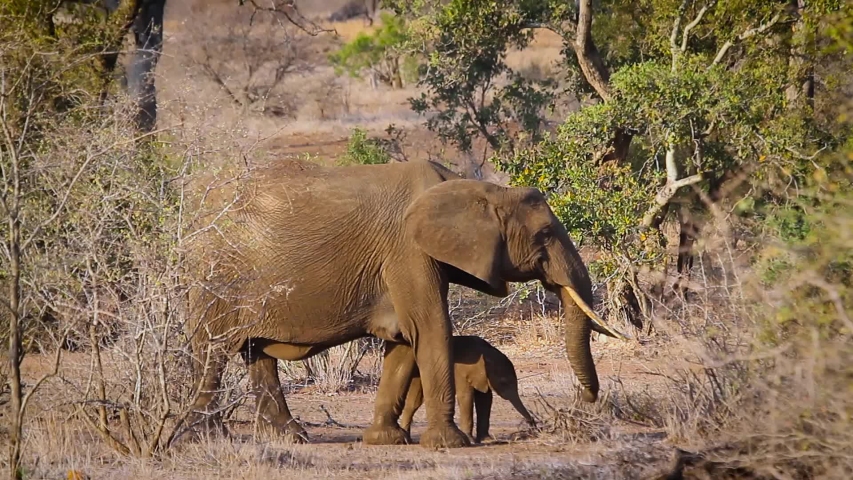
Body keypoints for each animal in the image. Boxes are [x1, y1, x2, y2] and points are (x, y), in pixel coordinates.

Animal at [398, 334, 532, 442]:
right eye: (504, 382)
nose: (532, 428)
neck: (486, 352)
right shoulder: (461, 372)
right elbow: (466, 396)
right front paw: (471, 440)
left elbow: (485, 400)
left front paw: (486, 440)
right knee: (415, 400)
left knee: (416, 400)